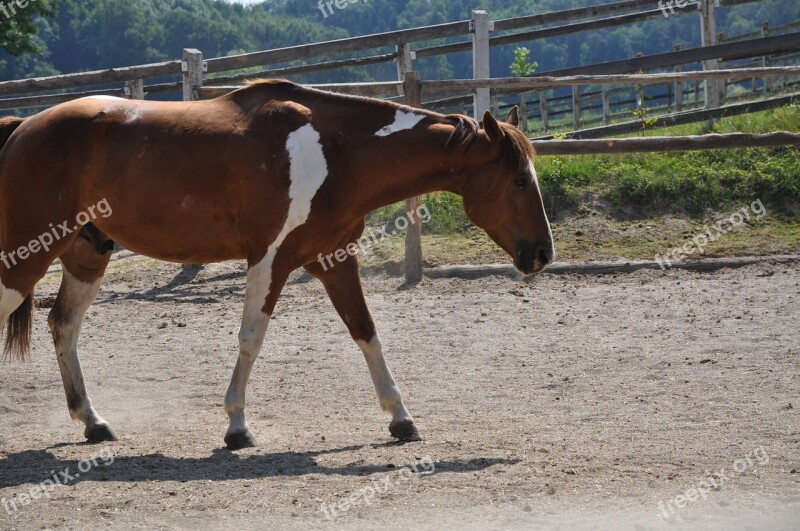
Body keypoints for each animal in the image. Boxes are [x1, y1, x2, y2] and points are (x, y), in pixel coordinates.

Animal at [0, 81, 552, 450]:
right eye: (520, 180)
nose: (543, 254)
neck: (335, 150)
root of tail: (23, 127)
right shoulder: (271, 260)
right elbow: (251, 339)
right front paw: (236, 427)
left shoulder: (334, 260)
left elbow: (366, 332)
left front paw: (401, 418)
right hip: (24, 258)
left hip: (86, 256)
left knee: (63, 326)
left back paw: (94, 423)